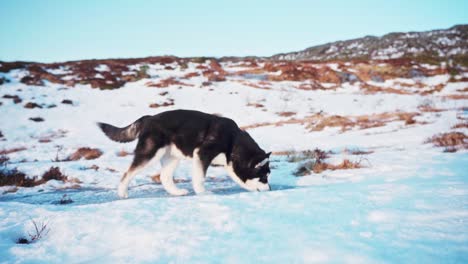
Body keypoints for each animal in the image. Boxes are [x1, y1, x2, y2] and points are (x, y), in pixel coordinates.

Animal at [98, 109, 270, 198]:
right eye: (264, 177)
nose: (269, 189)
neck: (233, 142)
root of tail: (149, 118)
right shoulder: (202, 154)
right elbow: (200, 178)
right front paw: (203, 193)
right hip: (150, 154)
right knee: (127, 173)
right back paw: (122, 193)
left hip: (172, 157)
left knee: (164, 177)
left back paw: (176, 192)